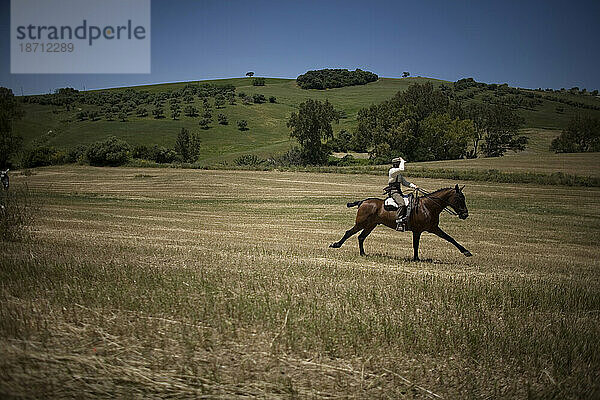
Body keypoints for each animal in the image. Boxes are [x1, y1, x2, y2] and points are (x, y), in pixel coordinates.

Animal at [328, 184, 474, 260]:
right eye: (460, 198)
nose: (465, 214)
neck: (428, 206)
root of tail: (363, 202)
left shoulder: (433, 228)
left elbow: (450, 238)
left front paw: (466, 251)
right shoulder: (418, 231)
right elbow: (416, 245)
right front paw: (416, 258)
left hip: (370, 225)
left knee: (361, 237)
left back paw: (363, 253)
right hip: (361, 224)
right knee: (349, 233)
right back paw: (336, 245)